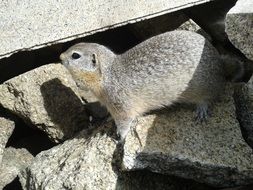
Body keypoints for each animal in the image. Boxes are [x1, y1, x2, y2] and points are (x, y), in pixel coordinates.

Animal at [60, 30, 225, 142]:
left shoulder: (121, 106)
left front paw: (119, 138)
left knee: (210, 97)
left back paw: (202, 110)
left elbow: (124, 124)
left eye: (75, 55)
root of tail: (219, 62)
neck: (109, 74)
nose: (60, 56)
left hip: (205, 88)